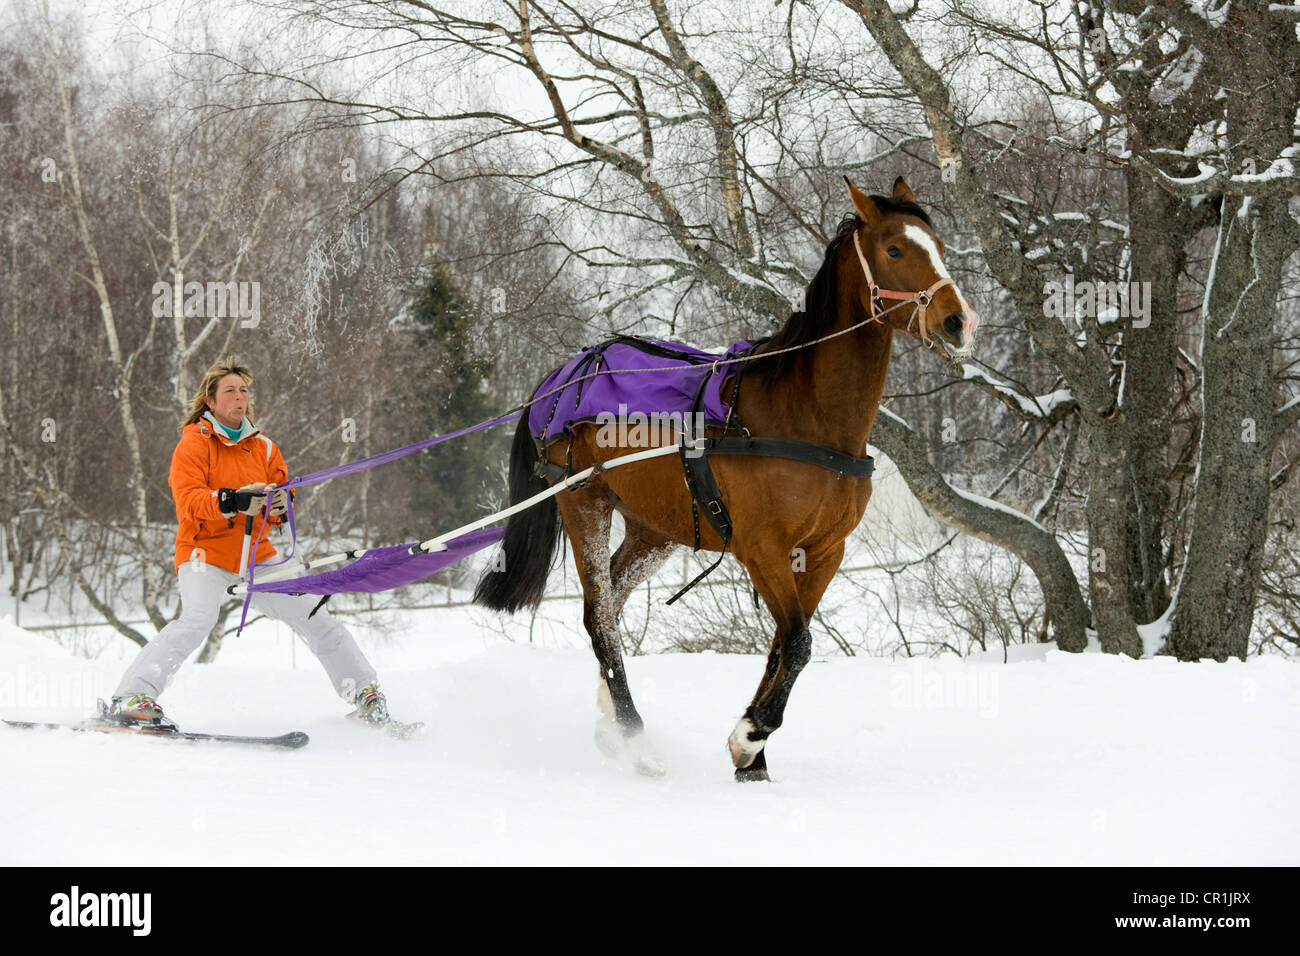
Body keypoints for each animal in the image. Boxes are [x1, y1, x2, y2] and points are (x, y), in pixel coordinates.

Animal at [475, 175, 977, 780]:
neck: (806, 416)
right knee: (599, 616)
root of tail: (563, 374)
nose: (959, 321)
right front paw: (750, 734)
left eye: (940, 247)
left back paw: (609, 720)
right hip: (584, 502)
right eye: (896, 249)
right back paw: (635, 738)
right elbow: (799, 642)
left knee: (613, 603)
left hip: (655, 528)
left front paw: (754, 757)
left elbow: (784, 645)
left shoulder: (824, 551)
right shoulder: (762, 548)